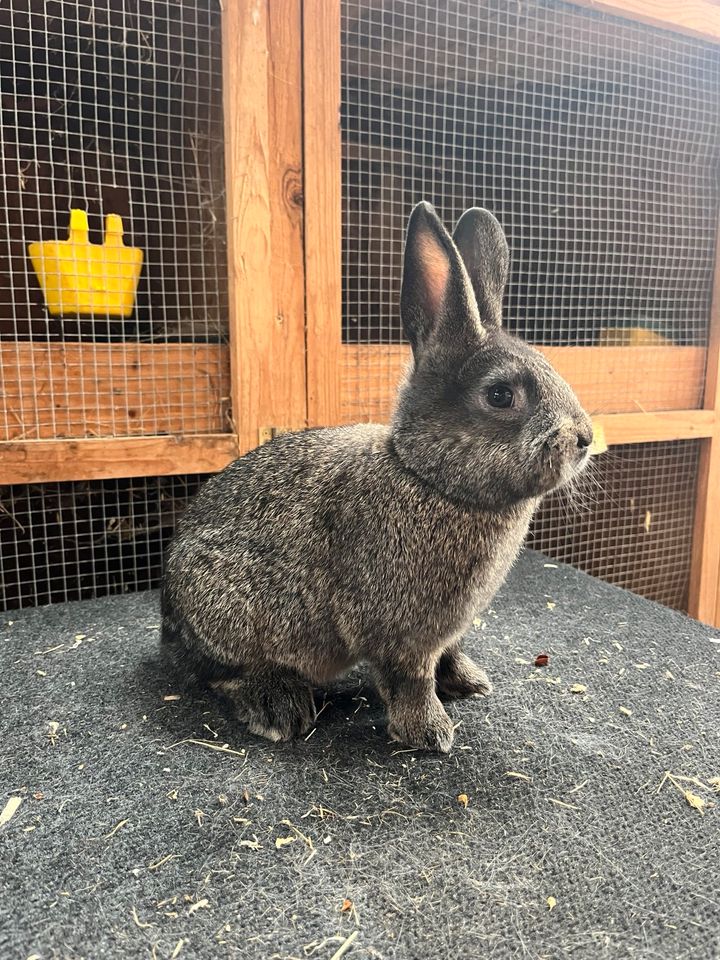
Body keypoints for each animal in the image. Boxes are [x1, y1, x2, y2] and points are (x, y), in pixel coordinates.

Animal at [163, 204, 592, 756]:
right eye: (500, 395)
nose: (584, 438)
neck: (428, 476)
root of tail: (169, 623)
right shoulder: (399, 633)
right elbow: (409, 680)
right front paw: (431, 732)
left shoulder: (445, 632)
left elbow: (448, 656)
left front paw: (470, 682)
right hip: (228, 608)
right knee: (222, 673)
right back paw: (278, 707)